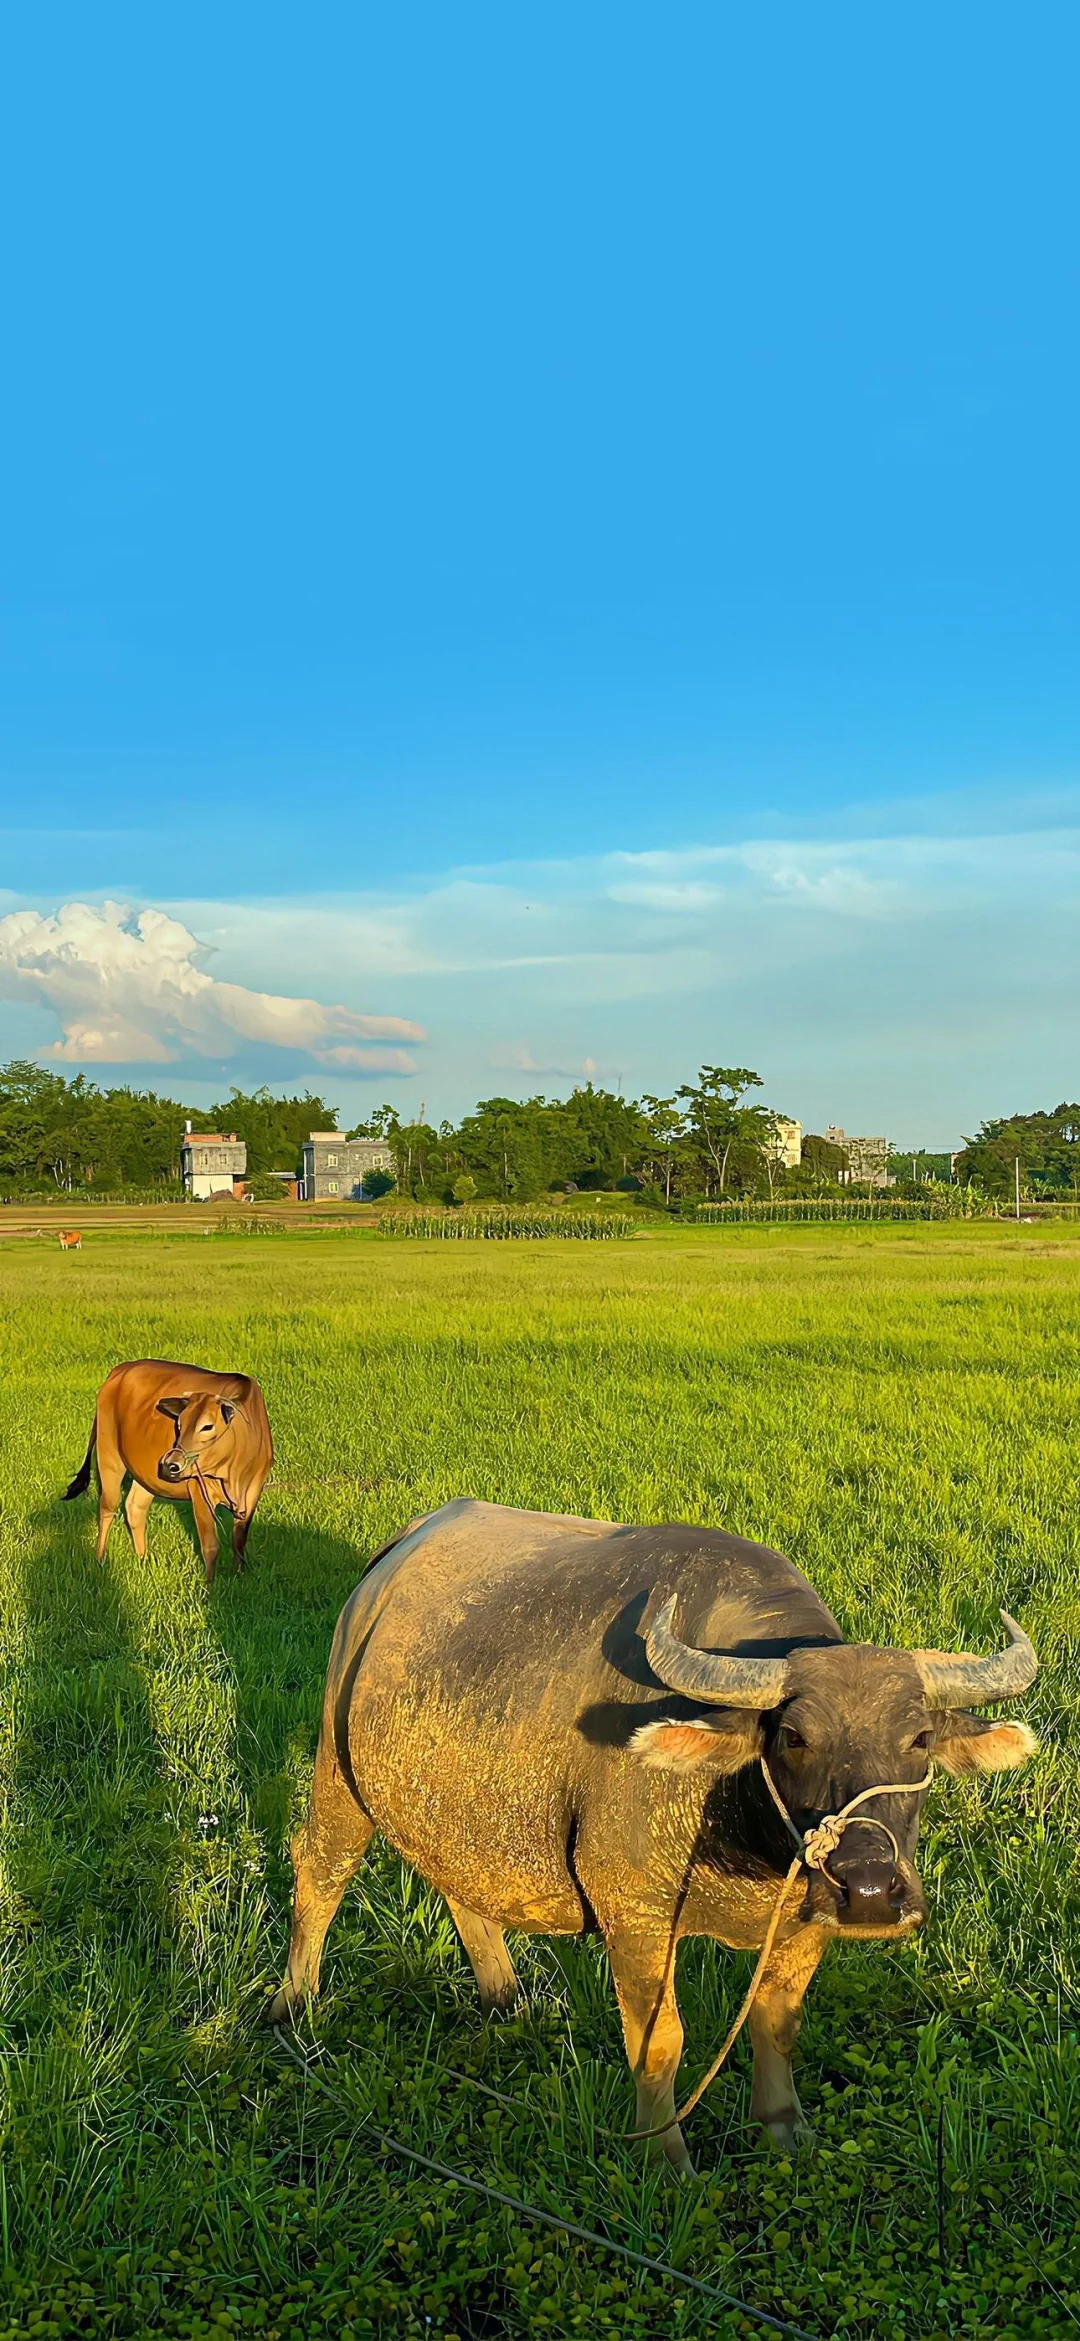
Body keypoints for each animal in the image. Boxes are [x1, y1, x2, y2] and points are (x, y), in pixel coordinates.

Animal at [62, 1367, 274, 1582]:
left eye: (207, 1426)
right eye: (178, 1425)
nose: (170, 1464)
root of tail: (121, 1369)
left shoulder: (254, 1492)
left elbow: (239, 1540)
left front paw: (239, 1575)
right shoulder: (199, 1491)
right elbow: (211, 1547)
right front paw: (210, 1584)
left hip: (145, 1474)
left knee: (134, 1507)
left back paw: (143, 1560)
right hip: (109, 1454)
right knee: (107, 1508)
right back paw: (100, 1559)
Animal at [269, 1498, 1035, 2172]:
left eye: (921, 1739)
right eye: (794, 1736)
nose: (871, 1888)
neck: (737, 1823)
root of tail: (390, 1563)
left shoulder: (808, 1914)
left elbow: (777, 2021)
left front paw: (785, 2130)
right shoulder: (634, 1909)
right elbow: (660, 2040)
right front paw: (665, 2157)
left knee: (462, 1886)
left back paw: (506, 1999)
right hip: (338, 1772)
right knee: (321, 1872)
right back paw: (293, 2003)